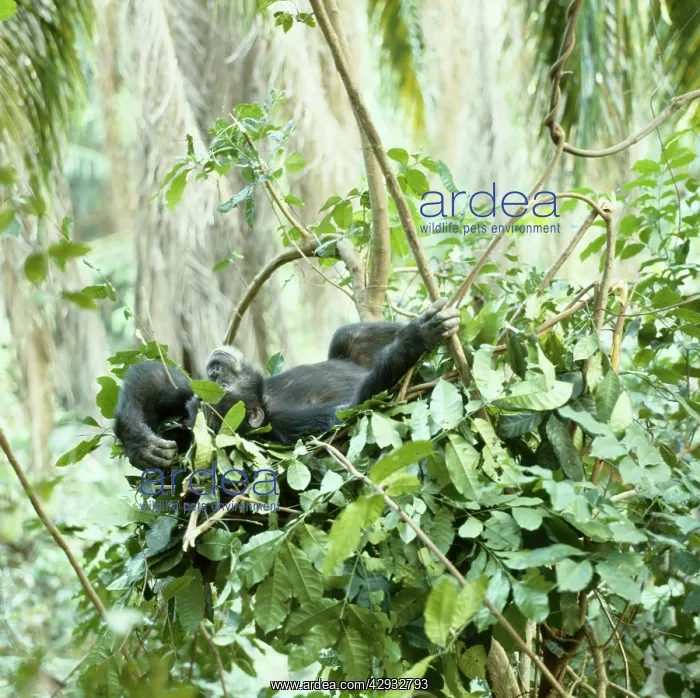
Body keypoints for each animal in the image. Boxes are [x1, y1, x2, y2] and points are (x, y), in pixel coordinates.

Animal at [114, 299, 461, 469]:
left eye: (214, 385)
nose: (212, 371)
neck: (267, 403)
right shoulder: (295, 428)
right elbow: (353, 410)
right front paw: (417, 337)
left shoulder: (188, 395)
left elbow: (167, 380)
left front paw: (140, 443)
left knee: (349, 336)